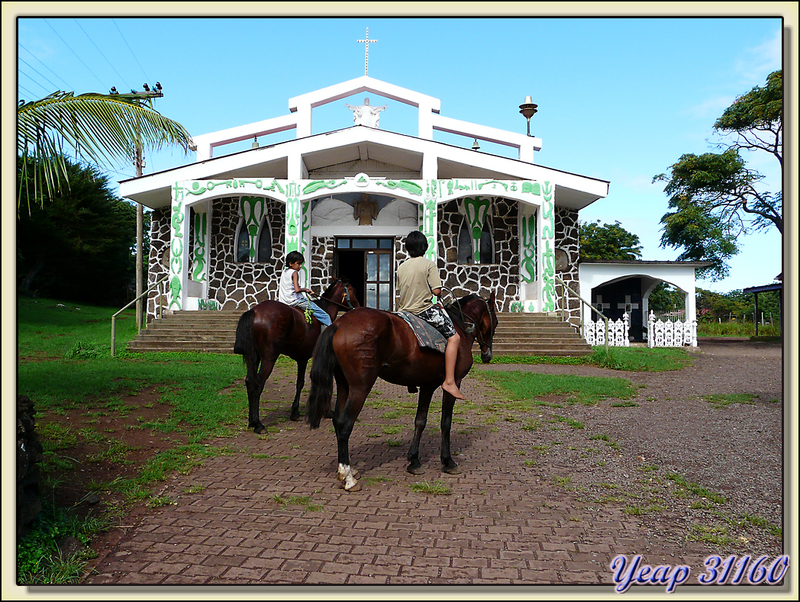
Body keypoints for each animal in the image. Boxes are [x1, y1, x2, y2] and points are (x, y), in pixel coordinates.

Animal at [234, 278, 360, 432]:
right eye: (353, 290)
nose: (358, 307)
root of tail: (254, 311)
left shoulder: (302, 358)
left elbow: (299, 383)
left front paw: (295, 412)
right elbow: (317, 378)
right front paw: (325, 411)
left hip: (254, 356)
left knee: (250, 381)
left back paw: (252, 421)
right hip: (269, 357)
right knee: (258, 383)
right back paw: (258, 424)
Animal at [304, 288, 494, 490]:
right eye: (495, 320)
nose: (487, 354)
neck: (459, 326)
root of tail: (339, 324)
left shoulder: (427, 385)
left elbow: (420, 421)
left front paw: (414, 461)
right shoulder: (453, 383)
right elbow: (446, 422)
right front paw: (447, 461)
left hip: (344, 385)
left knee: (337, 419)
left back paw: (347, 469)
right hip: (360, 387)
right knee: (345, 423)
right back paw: (348, 476)